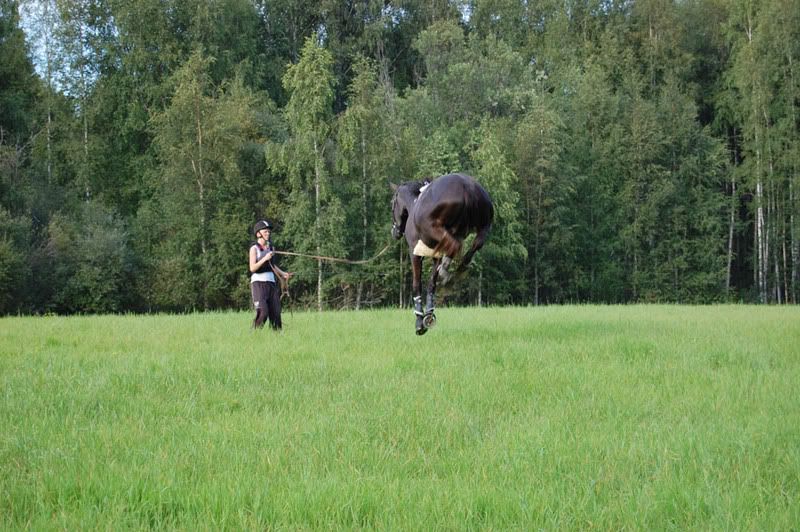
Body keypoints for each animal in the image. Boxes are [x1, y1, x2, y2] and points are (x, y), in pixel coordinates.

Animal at [390, 172, 494, 334]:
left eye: (392, 204)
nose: (394, 232)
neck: (414, 203)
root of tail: (467, 187)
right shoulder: (436, 256)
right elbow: (431, 283)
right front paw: (428, 315)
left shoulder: (415, 253)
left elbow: (417, 284)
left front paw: (419, 321)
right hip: (482, 227)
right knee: (472, 246)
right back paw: (455, 272)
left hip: (438, 230)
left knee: (455, 246)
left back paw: (449, 274)